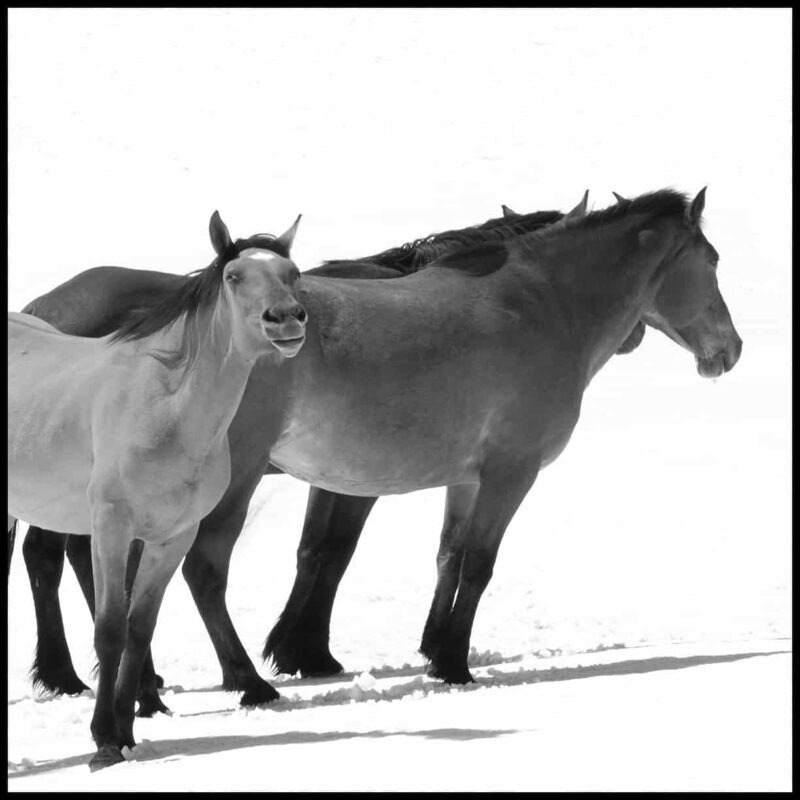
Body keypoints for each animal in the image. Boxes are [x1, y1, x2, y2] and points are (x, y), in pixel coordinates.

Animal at [8, 211, 306, 770]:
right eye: (234, 276)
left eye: (293, 273)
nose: (286, 319)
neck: (164, 406)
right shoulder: (111, 526)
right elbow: (109, 628)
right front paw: (103, 741)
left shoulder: (172, 537)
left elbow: (139, 627)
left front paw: (126, 731)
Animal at [20, 201, 620, 712]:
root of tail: (45, 306)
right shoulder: (357, 480)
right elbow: (334, 552)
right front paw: (306, 651)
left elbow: (327, 551)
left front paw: (311, 648)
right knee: (64, 557)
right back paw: (104, 678)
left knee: (58, 556)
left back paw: (93, 676)